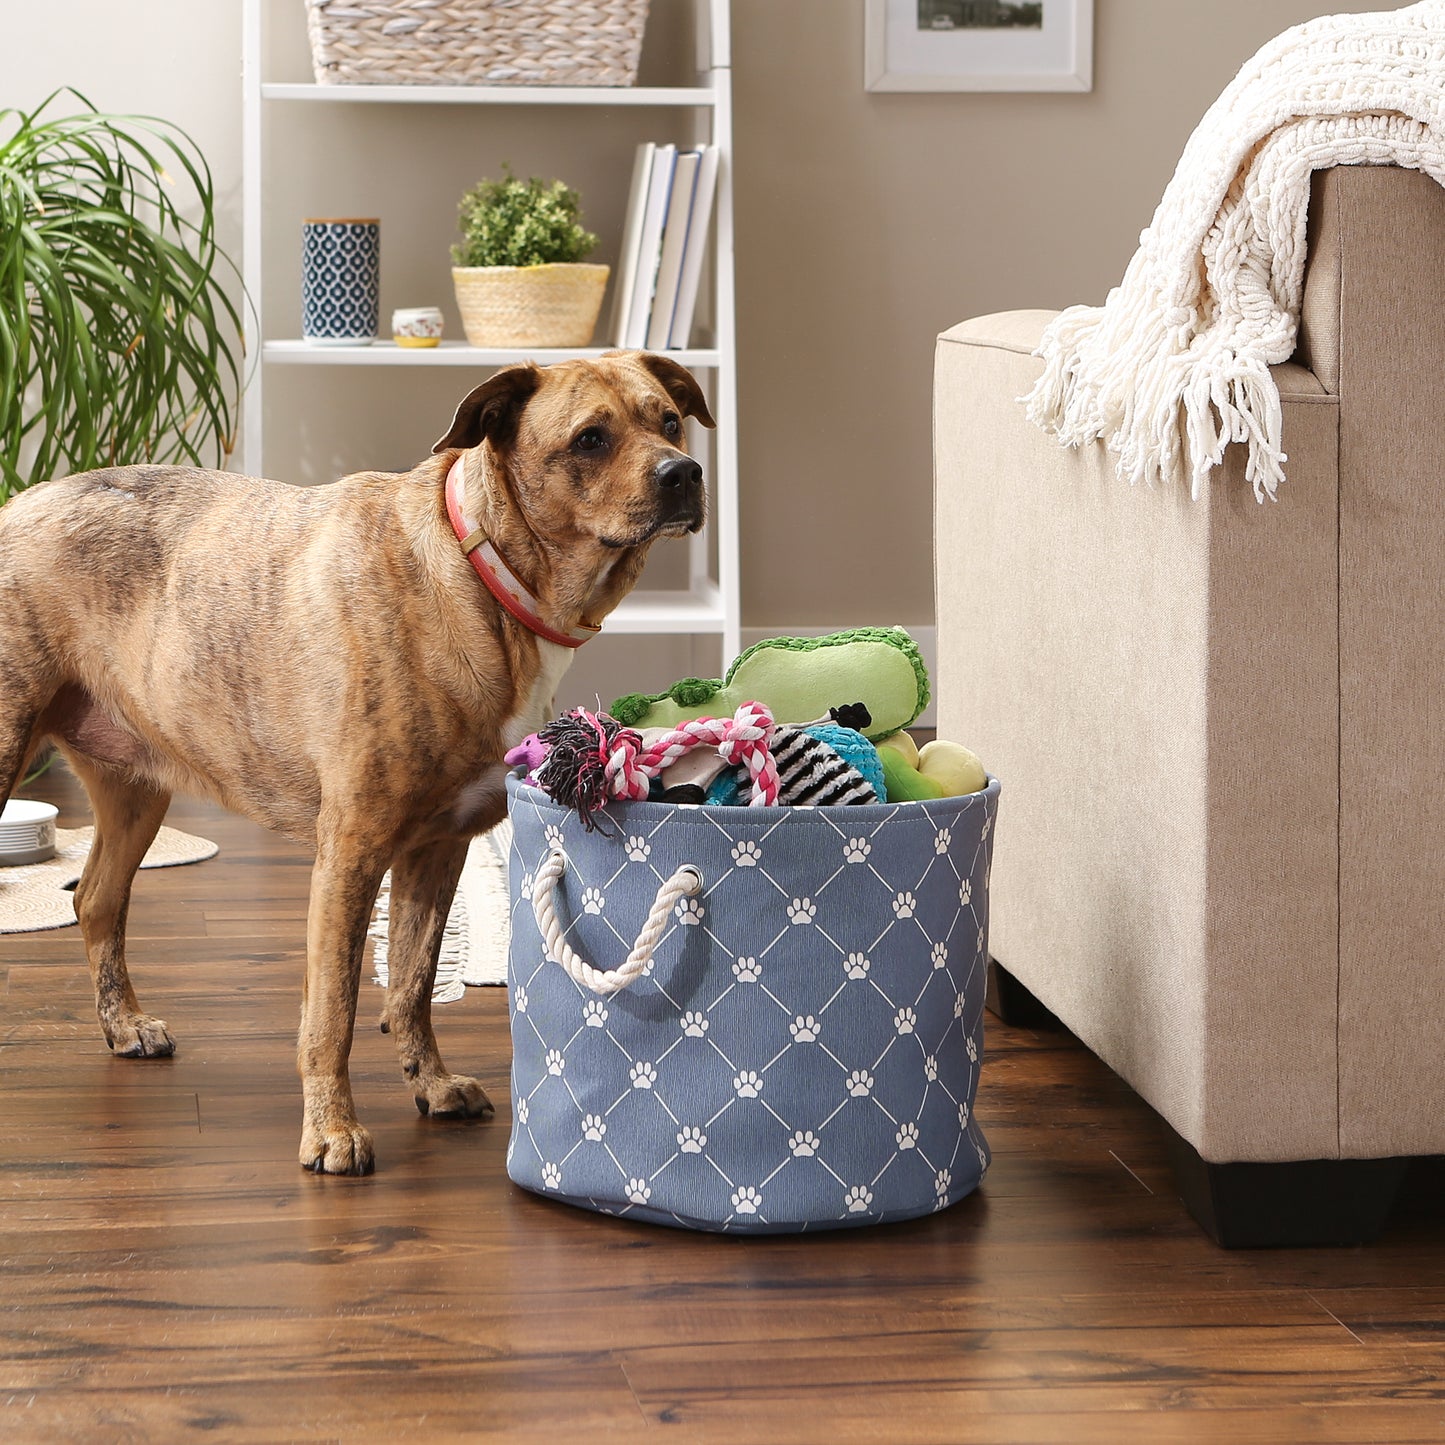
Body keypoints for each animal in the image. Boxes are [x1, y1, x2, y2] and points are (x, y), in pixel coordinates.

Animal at [0, 349, 713, 1173]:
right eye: (590, 439)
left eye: (670, 421)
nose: (685, 472)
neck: (483, 579)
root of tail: (16, 503)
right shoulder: (351, 850)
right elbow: (333, 1008)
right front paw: (332, 1129)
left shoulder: (439, 848)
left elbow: (410, 982)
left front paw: (430, 1083)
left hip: (136, 790)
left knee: (95, 900)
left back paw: (124, 1025)